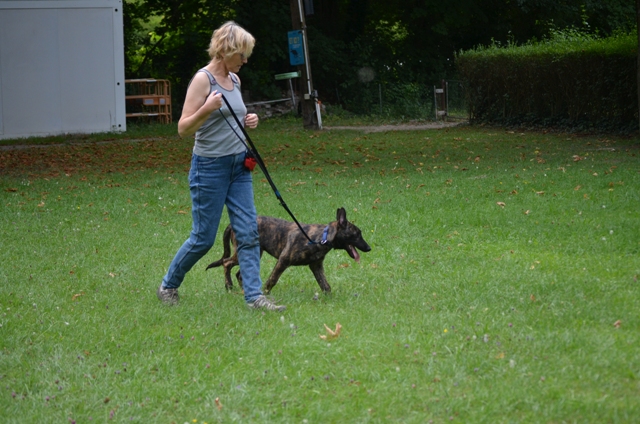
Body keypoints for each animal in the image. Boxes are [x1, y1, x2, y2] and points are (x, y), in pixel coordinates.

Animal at [208, 207, 372, 294]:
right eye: (357, 234)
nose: (369, 248)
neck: (321, 237)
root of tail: (232, 224)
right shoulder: (283, 260)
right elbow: (272, 280)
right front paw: (266, 295)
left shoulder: (316, 266)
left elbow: (325, 285)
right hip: (240, 253)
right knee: (226, 263)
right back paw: (229, 286)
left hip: (254, 252)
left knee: (239, 273)